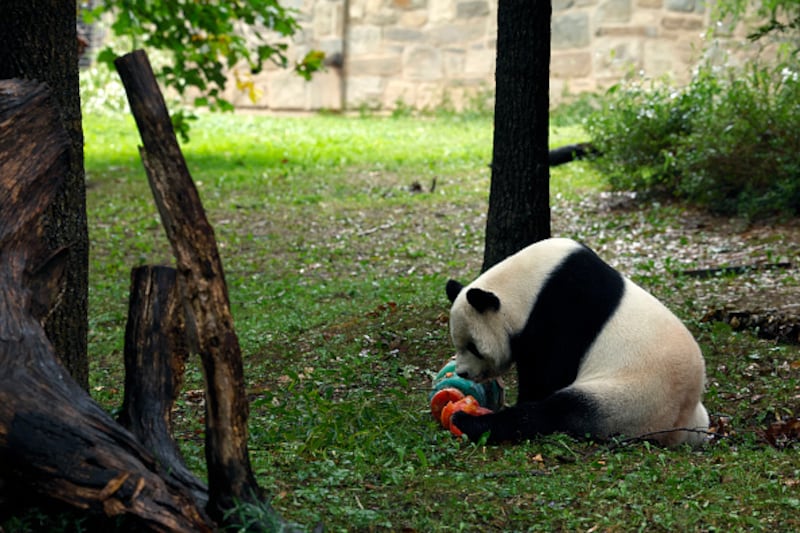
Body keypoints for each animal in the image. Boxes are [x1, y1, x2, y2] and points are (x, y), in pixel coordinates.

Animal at [446, 237, 708, 444]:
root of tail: (680, 425)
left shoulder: (564, 311)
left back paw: (469, 422)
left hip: (632, 400)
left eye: (473, 347)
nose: (462, 373)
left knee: (558, 412)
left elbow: (547, 373)